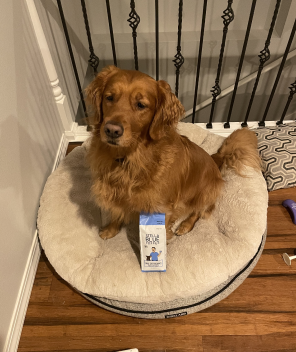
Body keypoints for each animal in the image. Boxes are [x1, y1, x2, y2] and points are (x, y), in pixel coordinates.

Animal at [85, 65, 262, 242]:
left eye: (141, 105)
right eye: (109, 97)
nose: (112, 130)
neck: (129, 157)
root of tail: (214, 158)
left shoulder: (160, 207)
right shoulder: (112, 191)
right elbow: (116, 212)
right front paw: (110, 229)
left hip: (206, 193)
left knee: (198, 212)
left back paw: (184, 226)